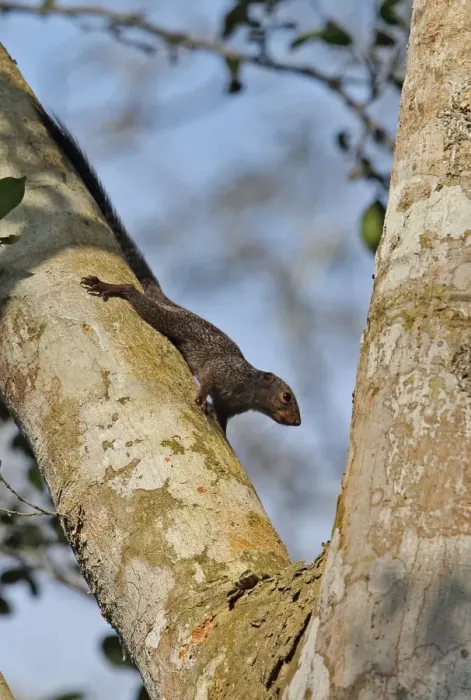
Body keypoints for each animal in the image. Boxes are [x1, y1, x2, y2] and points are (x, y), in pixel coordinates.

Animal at [35, 104, 301, 434]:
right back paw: (114, 287)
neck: (248, 390)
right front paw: (200, 396)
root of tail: (165, 299)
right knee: (138, 298)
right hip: (170, 320)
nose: (297, 422)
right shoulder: (224, 372)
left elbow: (223, 418)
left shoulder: (230, 405)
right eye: (286, 396)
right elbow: (208, 379)